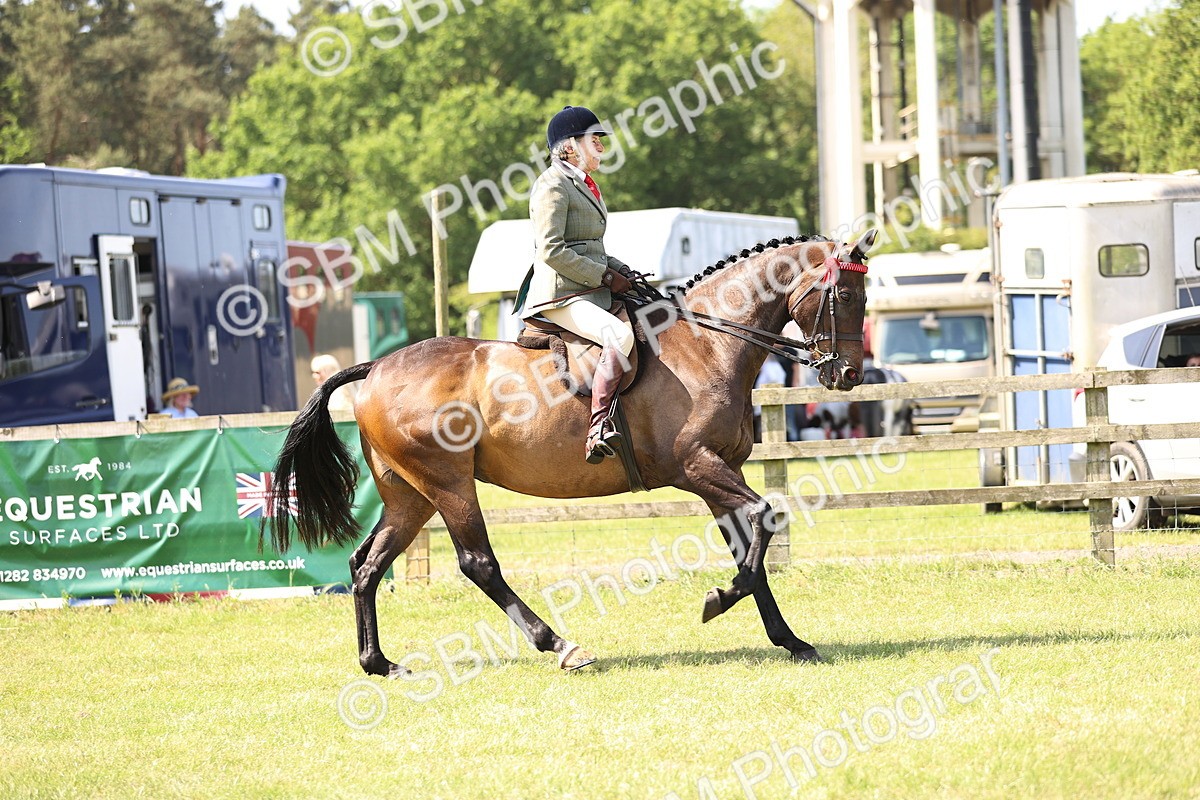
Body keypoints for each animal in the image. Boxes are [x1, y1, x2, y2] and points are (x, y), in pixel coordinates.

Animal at [265, 230, 876, 676]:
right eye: (845, 297)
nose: (848, 375)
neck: (707, 344)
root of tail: (376, 367)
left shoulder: (718, 474)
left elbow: (749, 544)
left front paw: (789, 639)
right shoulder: (697, 467)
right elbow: (766, 519)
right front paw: (718, 600)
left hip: (408, 496)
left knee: (367, 565)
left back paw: (379, 663)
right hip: (448, 484)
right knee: (478, 563)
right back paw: (561, 646)